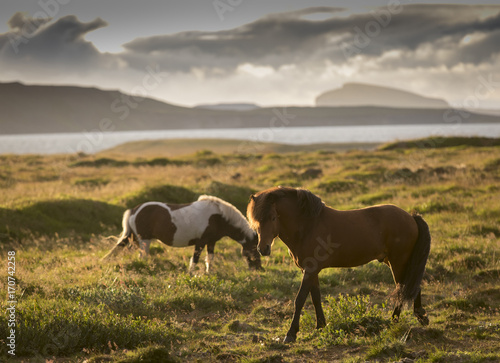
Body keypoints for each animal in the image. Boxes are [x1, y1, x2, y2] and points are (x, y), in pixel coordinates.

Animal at [104, 195, 264, 272]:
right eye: (254, 250)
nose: (258, 269)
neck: (218, 217)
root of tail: (134, 210)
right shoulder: (200, 242)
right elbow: (195, 259)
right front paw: (191, 274)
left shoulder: (211, 242)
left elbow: (210, 259)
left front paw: (209, 273)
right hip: (144, 240)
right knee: (142, 257)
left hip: (134, 237)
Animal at [246, 188, 430, 344]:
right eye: (256, 221)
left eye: (273, 217)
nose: (263, 249)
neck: (308, 226)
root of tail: (411, 217)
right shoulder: (311, 270)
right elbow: (316, 298)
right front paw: (321, 326)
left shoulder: (310, 270)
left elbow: (300, 299)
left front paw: (291, 334)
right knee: (410, 286)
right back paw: (419, 316)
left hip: (398, 261)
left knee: (404, 287)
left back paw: (395, 320)